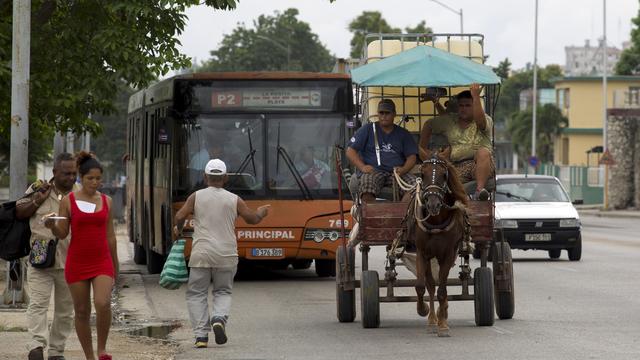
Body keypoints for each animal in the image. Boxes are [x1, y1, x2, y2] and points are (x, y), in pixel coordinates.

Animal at [412, 154, 468, 338]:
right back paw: (431, 320)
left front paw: (443, 324)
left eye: (444, 175)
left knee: (440, 286)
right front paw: (423, 310)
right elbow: (421, 286)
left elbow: (443, 290)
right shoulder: (421, 253)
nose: (433, 205)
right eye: (422, 175)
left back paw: (441, 314)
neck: (436, 220)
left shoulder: (448, 254)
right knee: (430, 284)